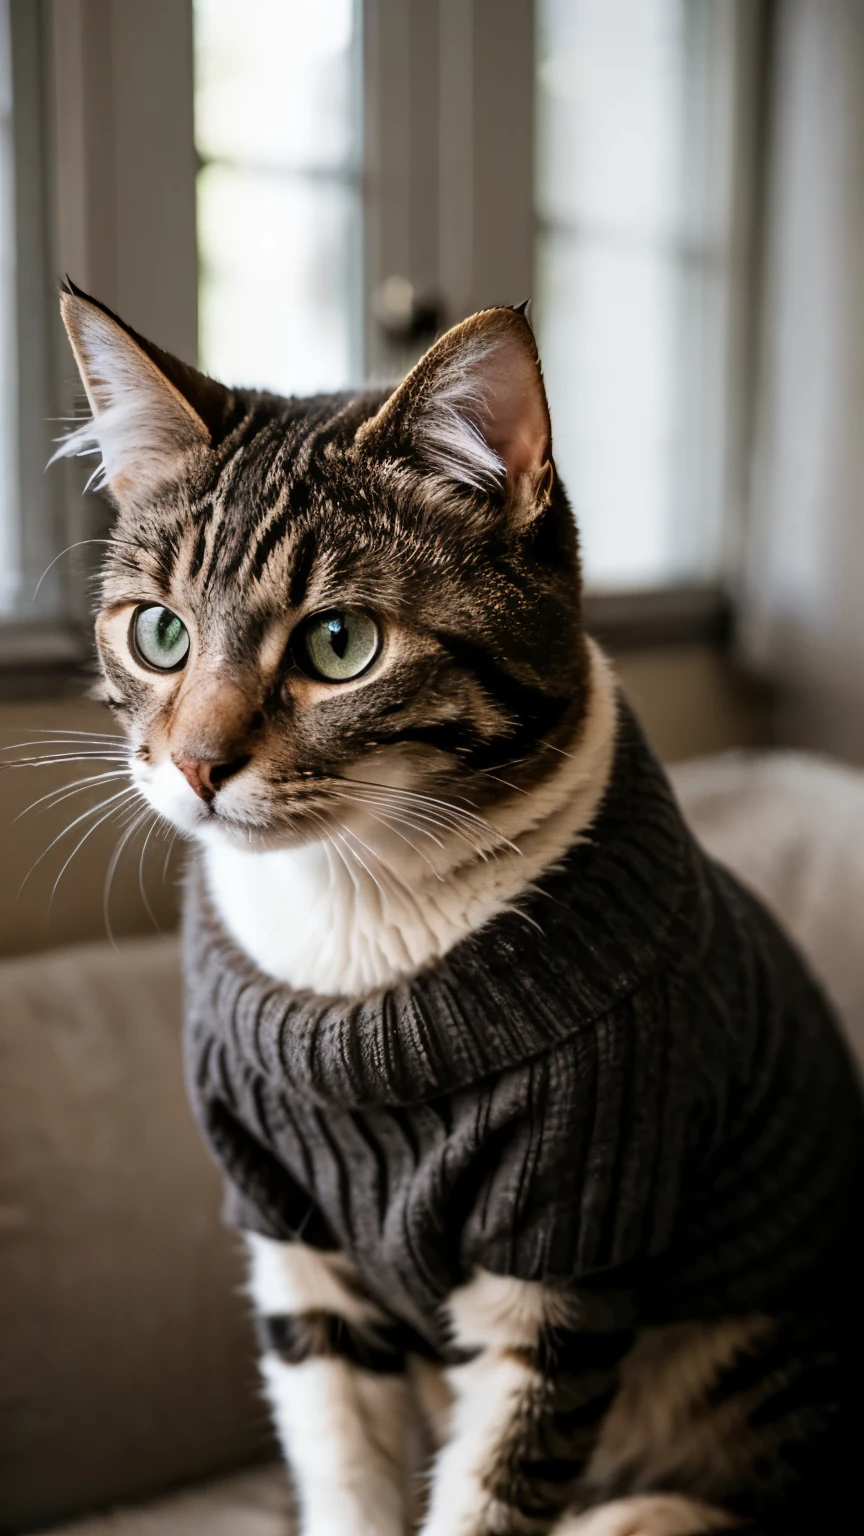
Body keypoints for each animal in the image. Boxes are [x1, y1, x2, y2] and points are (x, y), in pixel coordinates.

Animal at [57, 279, 860, 1536]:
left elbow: (490, 1493)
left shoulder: (575, 1233)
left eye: (340, 644)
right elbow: (343, 1465)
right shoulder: (292, 1237)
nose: (195, 765)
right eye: (159, 632)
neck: (356, 918)